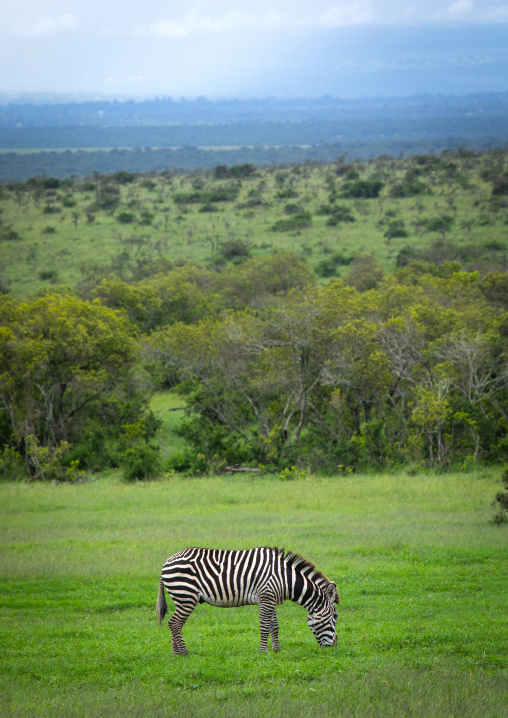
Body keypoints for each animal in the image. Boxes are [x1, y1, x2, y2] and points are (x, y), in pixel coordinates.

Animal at [156, 547, 340, 654]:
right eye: (335, 617)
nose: (334, 647)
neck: (286, 578)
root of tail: (166, 561)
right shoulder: (265, 597)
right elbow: (264, 627)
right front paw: (263, 652)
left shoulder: (271, 599)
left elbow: (275, 626)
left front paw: (276, 650)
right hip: (186, 596)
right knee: (174, 624)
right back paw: (184, 652)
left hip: (182, 598)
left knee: (173, 624)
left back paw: (175, 653)